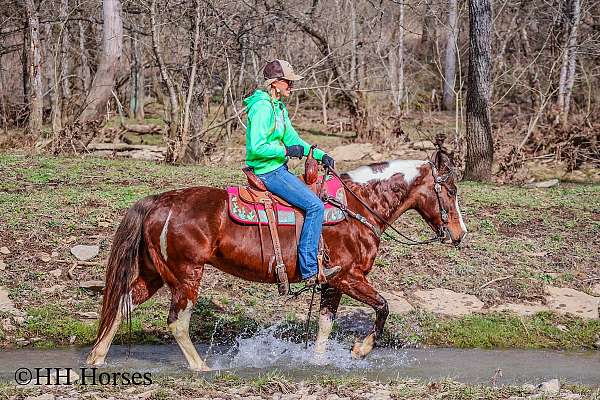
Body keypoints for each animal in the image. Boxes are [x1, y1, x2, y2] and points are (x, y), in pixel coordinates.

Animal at [85, 148, 468, 370]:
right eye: (450, 190)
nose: (460, 233)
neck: (356, 207)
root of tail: (159, 201)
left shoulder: (332, 283)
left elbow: (325, 325)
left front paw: (318, 361)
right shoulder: (347, 276)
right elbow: (383, 307)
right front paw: (361, 350)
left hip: (155, 272)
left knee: (122, 303)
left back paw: (96, 357)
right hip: (186, 274)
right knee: (177, 322)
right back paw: (201, 368)